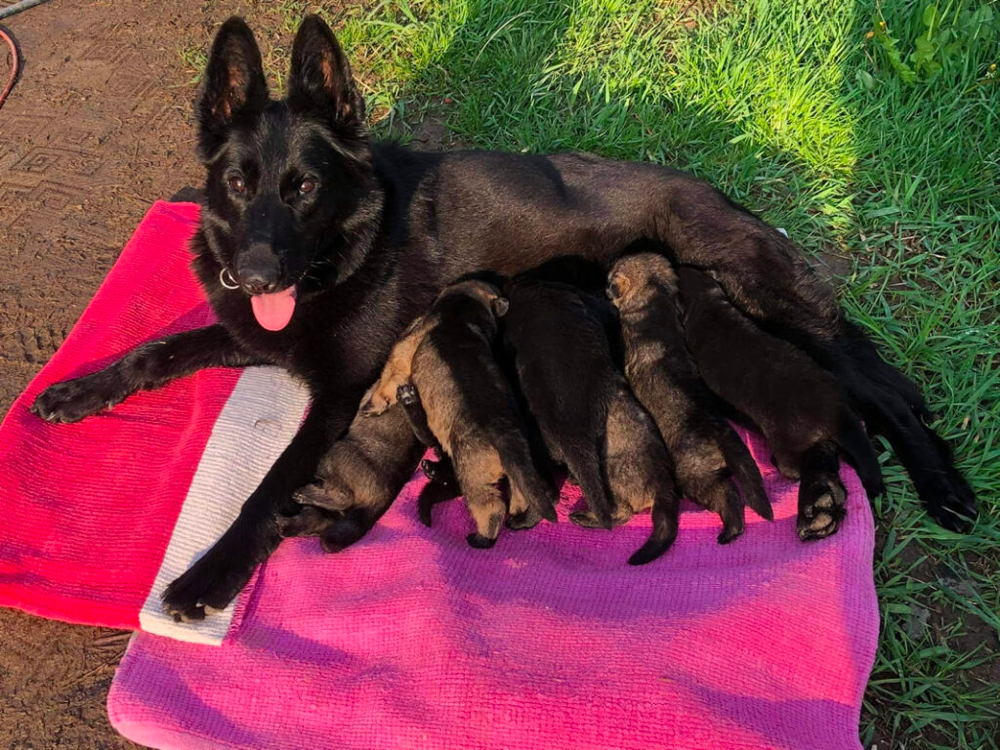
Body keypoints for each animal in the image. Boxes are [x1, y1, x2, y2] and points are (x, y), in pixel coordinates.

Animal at [600, 256, 772, 544]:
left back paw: (729, 531)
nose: (604, 288)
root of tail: (720, 432)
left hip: (694, 475)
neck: (655, 304)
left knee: (726, 496)